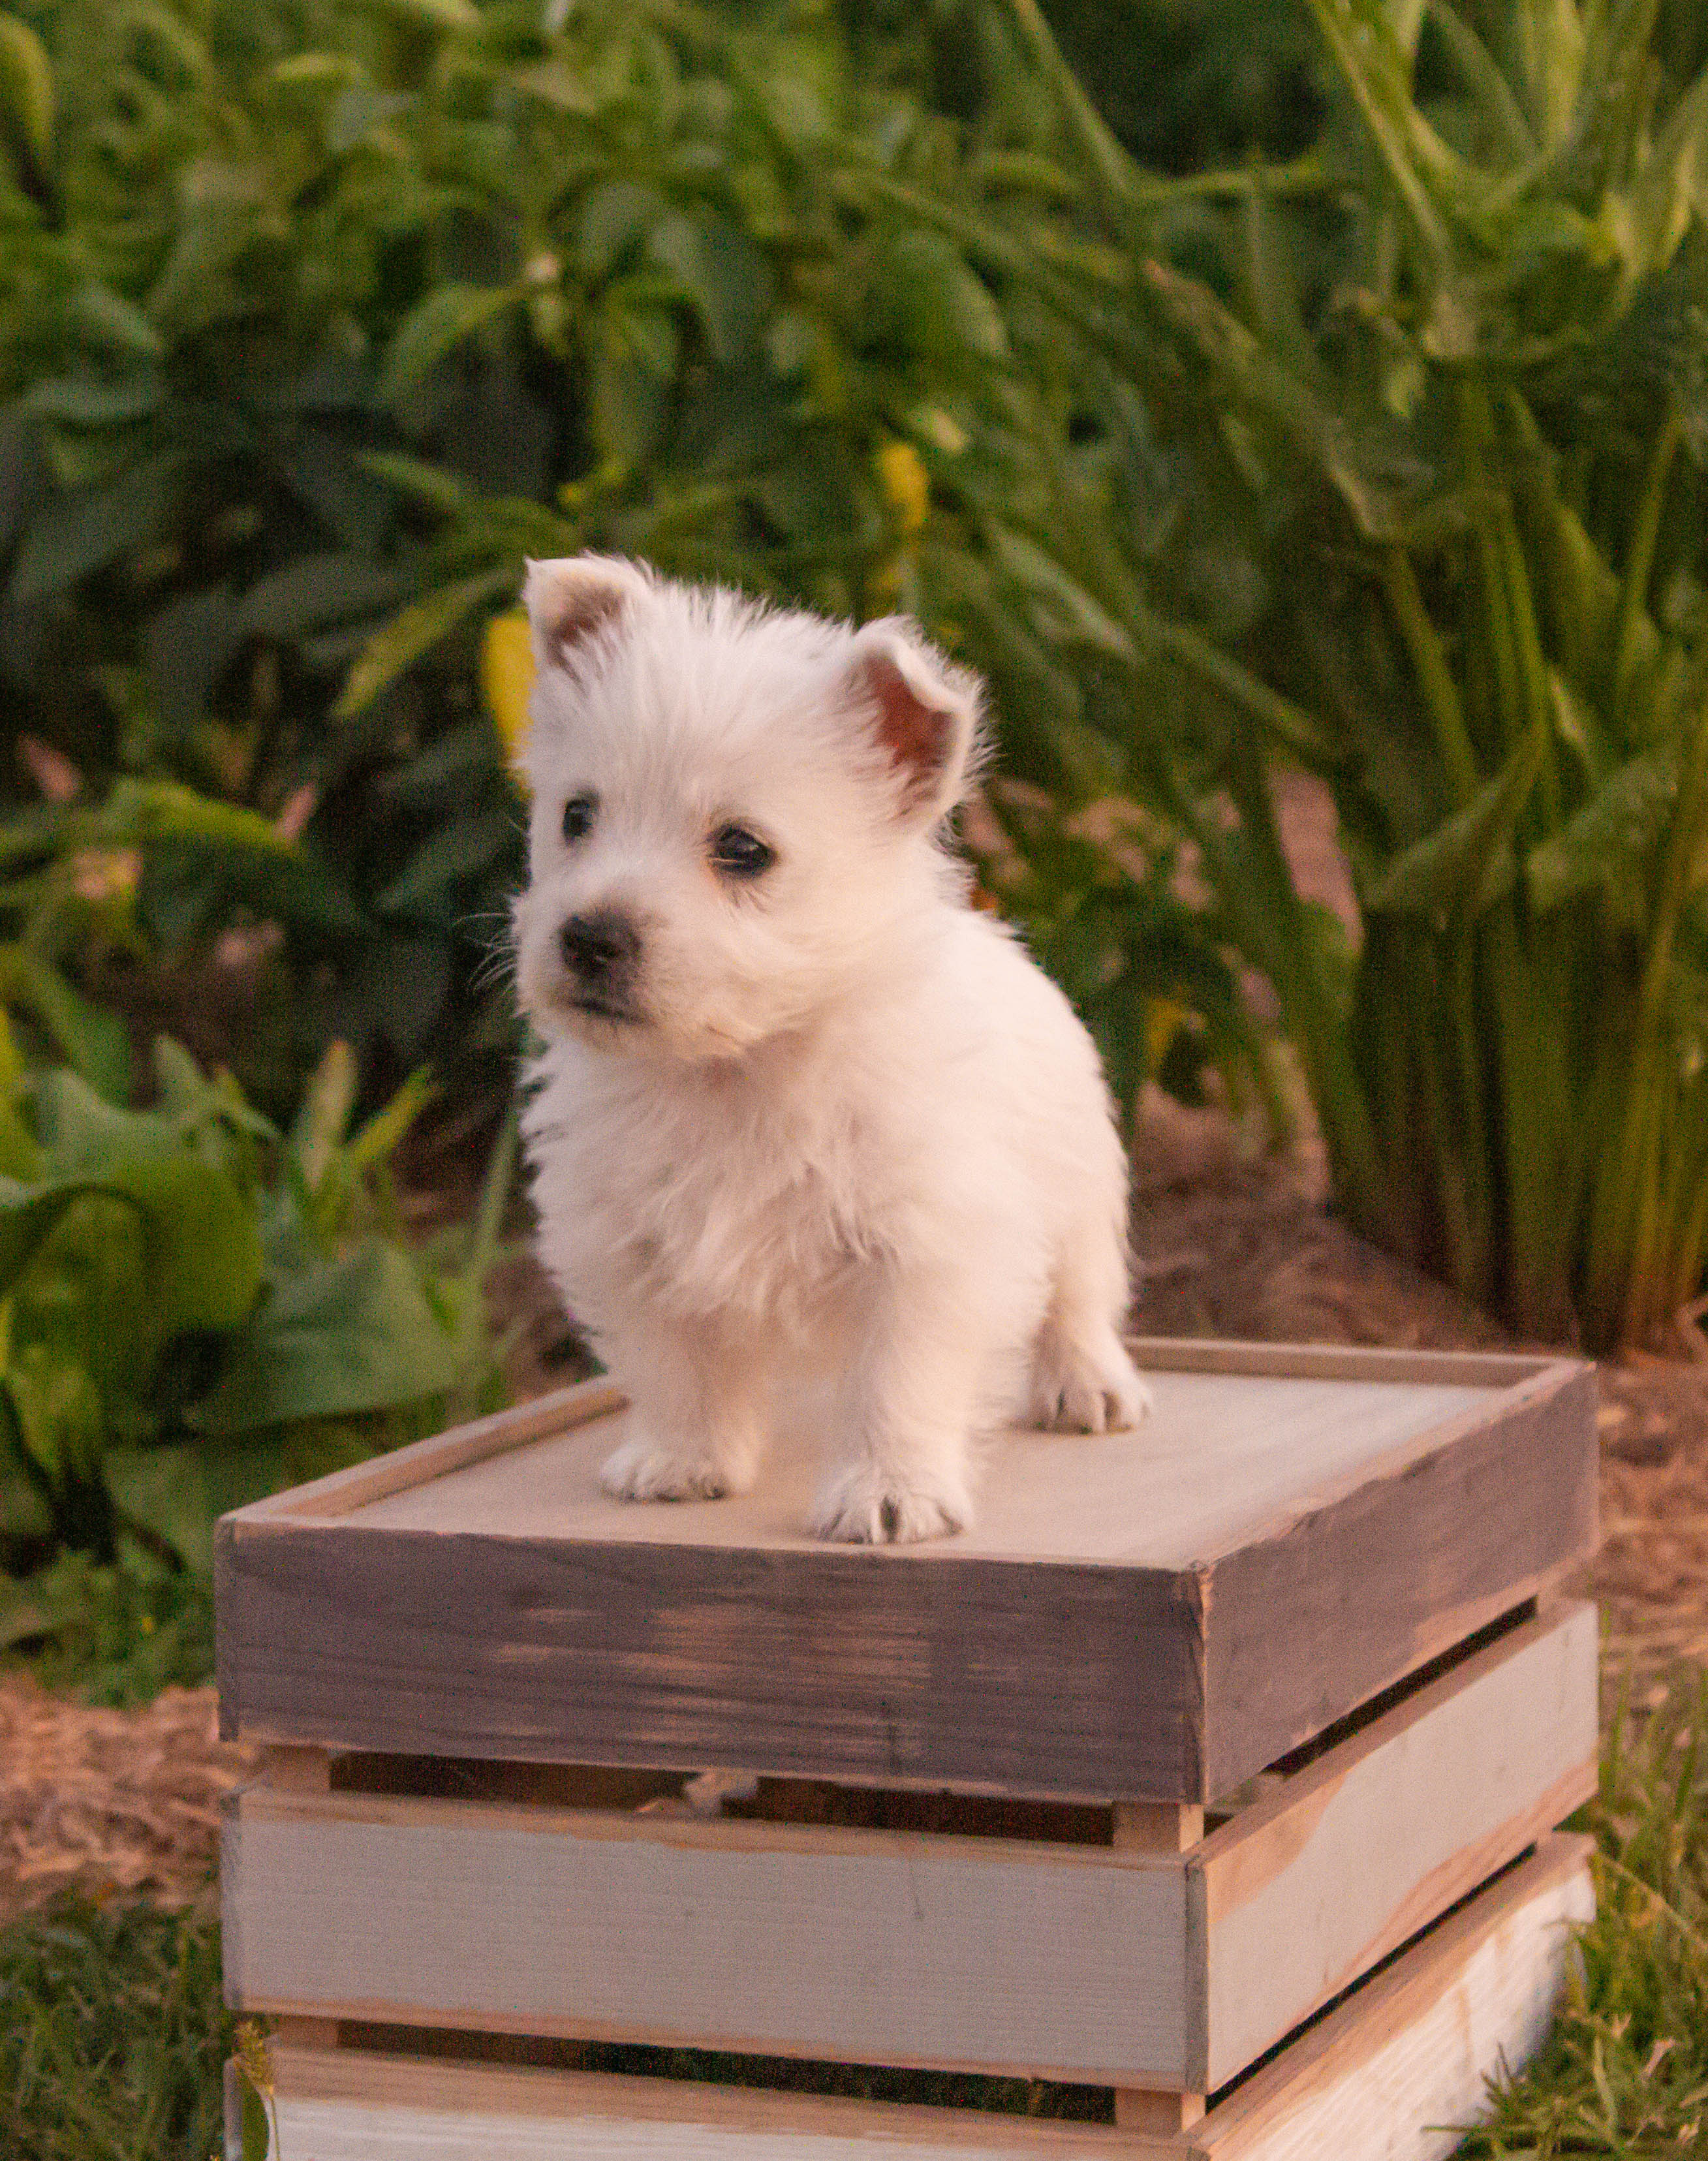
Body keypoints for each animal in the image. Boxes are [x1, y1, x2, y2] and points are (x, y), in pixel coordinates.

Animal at [512, 553, 1150, 1538]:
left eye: (743, 848)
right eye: (576, 816)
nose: (589, 937)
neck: (737, 1066)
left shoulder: (925, 1247)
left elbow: (898, 1379)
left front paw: (889, 1491)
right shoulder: (625, 1237)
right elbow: (673, 1360)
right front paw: (682, 1459)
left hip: (1081, 1182)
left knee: (1080, 1295)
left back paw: (1088, 1386)